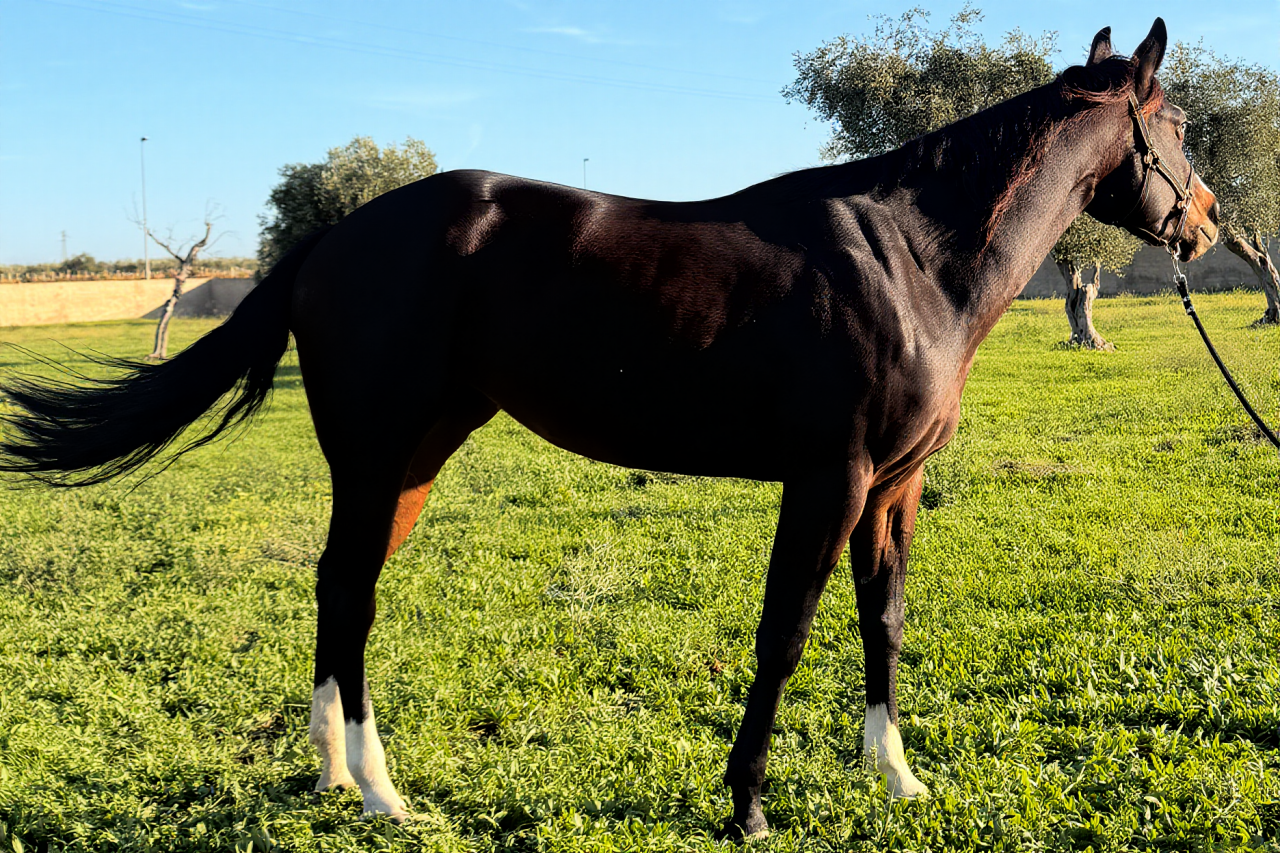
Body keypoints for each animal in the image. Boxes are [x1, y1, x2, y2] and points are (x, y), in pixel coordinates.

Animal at [0, 18, 1217, 841]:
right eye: (1175, 124)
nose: (1205, 221)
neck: (908, 257)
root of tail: (333, 236)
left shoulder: (891, 487)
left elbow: (884, 623)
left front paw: (898, 777)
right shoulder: (826, 479)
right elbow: (783, 636)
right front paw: (746, 805)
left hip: (412, 460)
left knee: (339, 590)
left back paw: (340, 777)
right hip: (380, 454)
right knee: (350, 592)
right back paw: (383, 791)